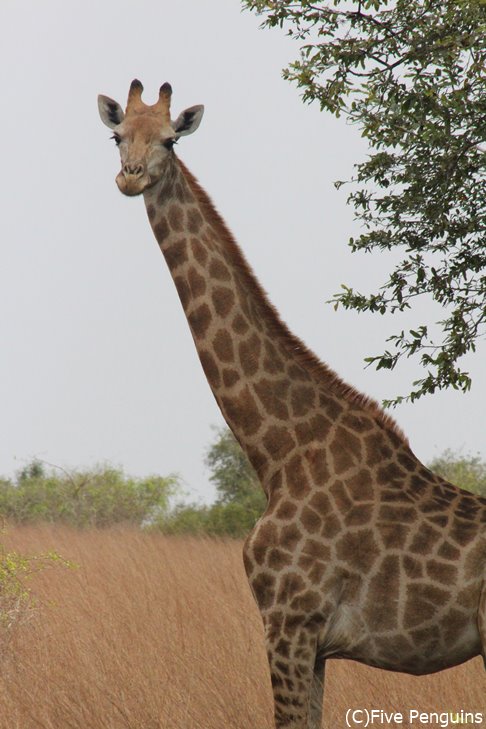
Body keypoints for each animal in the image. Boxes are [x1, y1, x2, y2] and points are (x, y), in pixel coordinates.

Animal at [98, 81, 486, 728]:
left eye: (171, 139)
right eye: (116, 135)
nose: (130, 178)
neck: (279, 452)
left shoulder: (290, 621)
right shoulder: (314, 643)